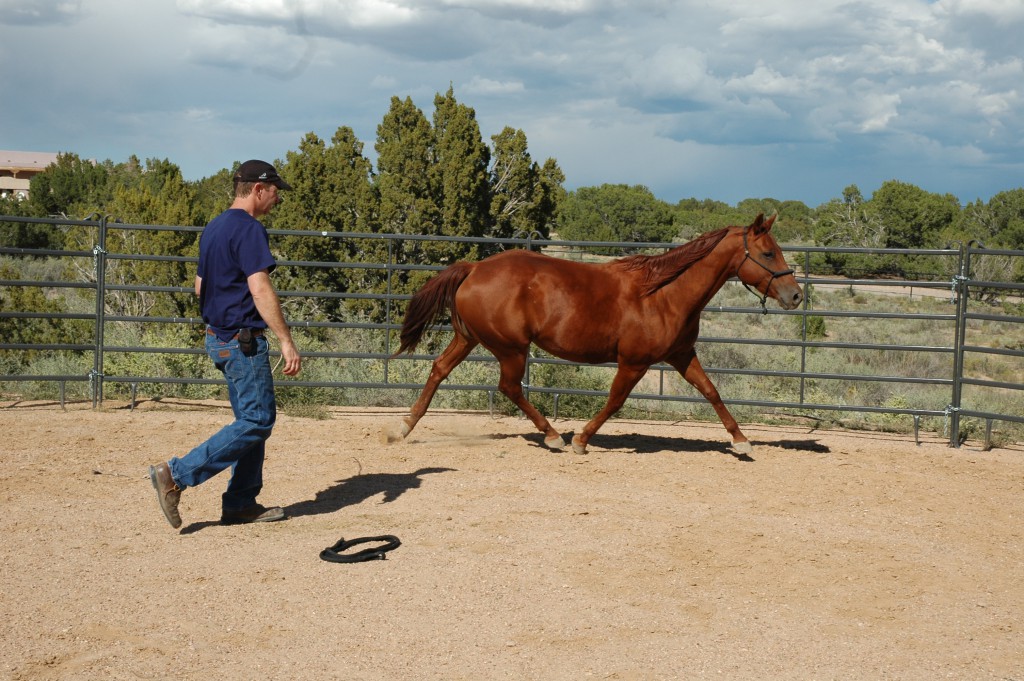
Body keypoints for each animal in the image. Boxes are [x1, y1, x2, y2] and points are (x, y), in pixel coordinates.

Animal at [389, 215, 798, 454]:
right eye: (768, 252)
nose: (795, 295)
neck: (662, 294)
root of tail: (474, 268)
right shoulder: (633, 362)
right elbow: (615, 401)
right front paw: (582, 440)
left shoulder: (682, 355)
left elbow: (711, 391)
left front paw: (741, 441)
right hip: (511, 348)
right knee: (509, 387)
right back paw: (553, 435)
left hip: (470, 338)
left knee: (439, 369)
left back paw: (403, 429)